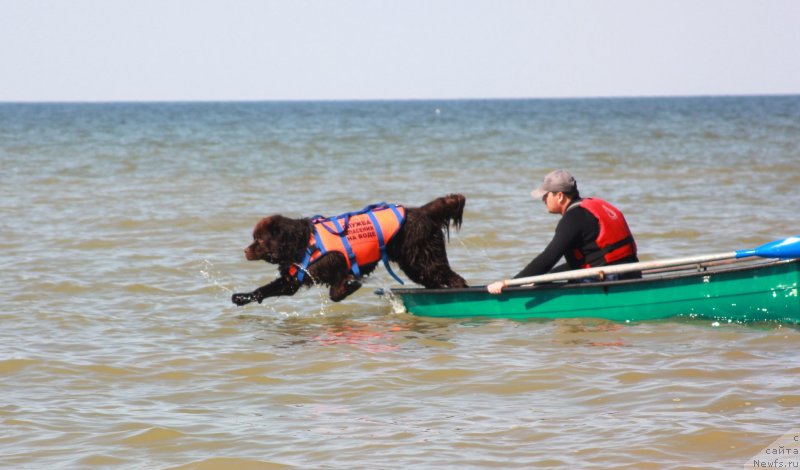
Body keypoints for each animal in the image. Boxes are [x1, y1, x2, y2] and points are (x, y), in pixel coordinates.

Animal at [230, 194, 468, 304]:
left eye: (259, 240)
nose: (245, 251)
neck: (302, 243)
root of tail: (422, 211)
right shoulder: (294, 279)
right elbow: (266, 289)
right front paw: (242, 297)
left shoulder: (336, 266)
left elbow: (336, 292)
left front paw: (351, 285)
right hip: (416, 264)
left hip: (422, 258)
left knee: (452, 278)